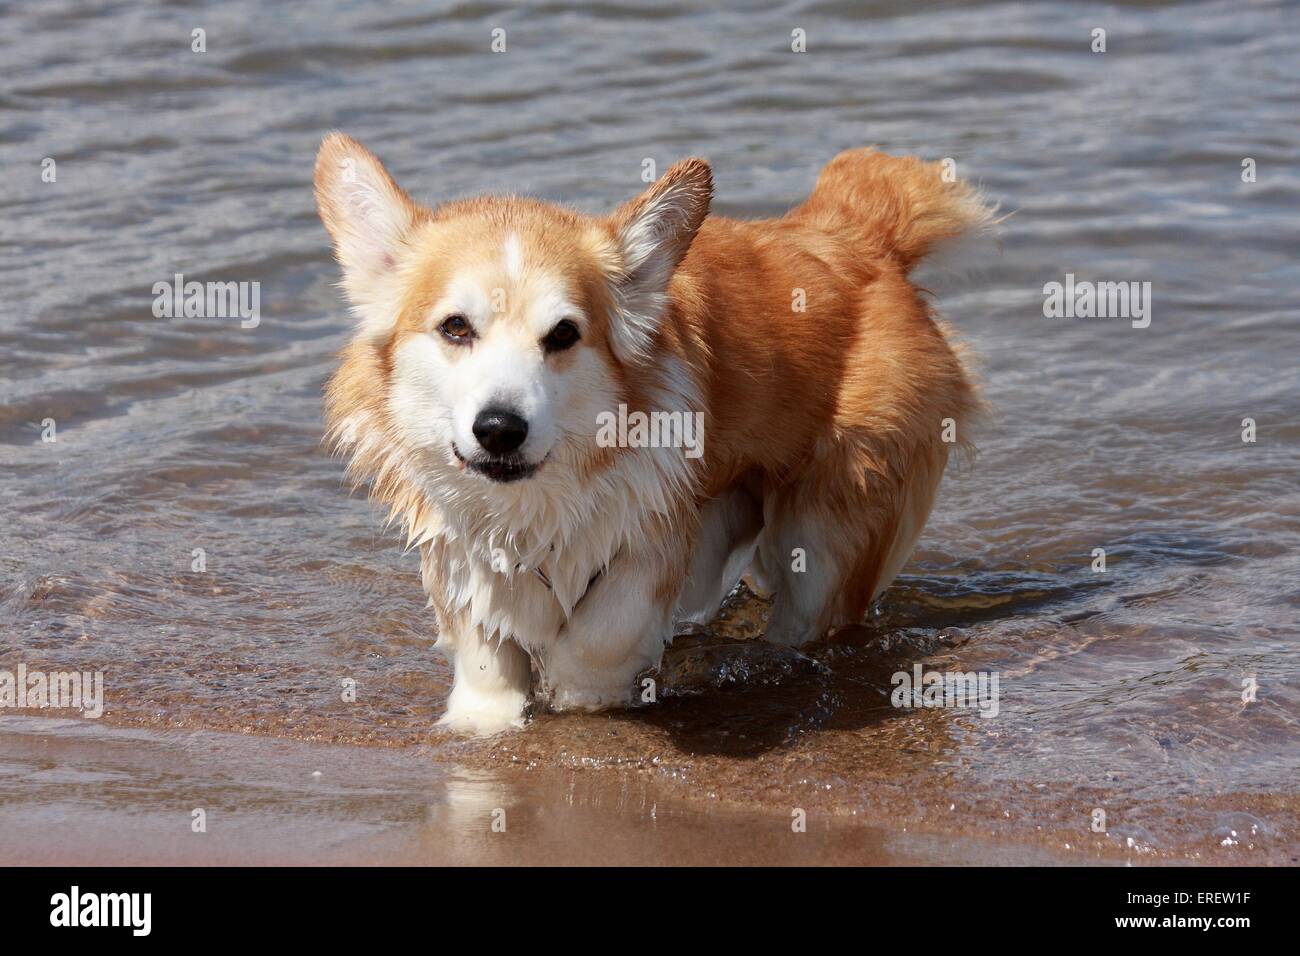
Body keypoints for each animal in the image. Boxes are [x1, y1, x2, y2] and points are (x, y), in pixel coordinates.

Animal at [317, 132, 993, 733]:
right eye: (455, 327)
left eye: (563, 334)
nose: (500, 430)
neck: (534, 502)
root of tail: (858, 234)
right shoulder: (459, 542)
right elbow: (485, 650)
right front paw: (484, 717)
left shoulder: (656, 523)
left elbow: (602, 633)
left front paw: (581, 693)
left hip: (827, 534)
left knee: (808, 611)